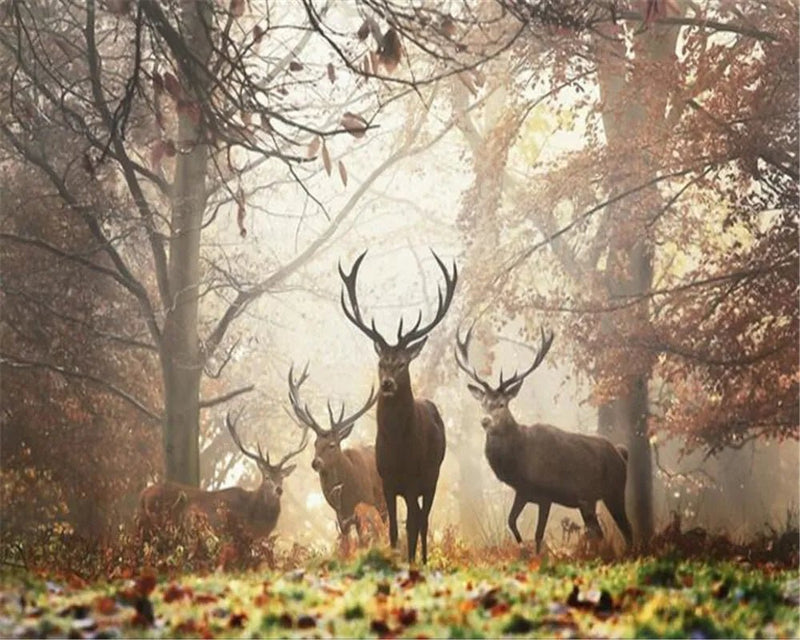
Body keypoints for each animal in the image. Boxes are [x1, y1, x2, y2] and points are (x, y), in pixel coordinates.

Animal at [286, 363, 387, 550]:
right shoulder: (341, 517)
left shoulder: (366, 505)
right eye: (315, 443)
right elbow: (347, 543)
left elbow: (365, 540)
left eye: (332, 445)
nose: (316, 463)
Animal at [338, 250, 457, 564]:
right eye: (381, 362)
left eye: (403, 363)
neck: (398, 447)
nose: (388, 384)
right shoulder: (388, 482)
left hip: (433, 475)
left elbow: (412, 526)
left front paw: (412, 562)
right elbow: (393, 529)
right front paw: (393, 559)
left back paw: (424, 560)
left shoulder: (415, 479)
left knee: (423, 521)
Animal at [455, 326, 633, 554]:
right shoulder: (523, 491)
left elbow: (539, 534)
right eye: (483, 403)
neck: (519, 463)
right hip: (588, 500)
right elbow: (511, 521)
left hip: (615, 490)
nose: (485, 420)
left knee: (627, 529)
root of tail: (621, 453)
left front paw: (537, 556)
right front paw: (521, 547)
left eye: (502, 404)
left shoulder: (546, 494)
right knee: (598, 532)